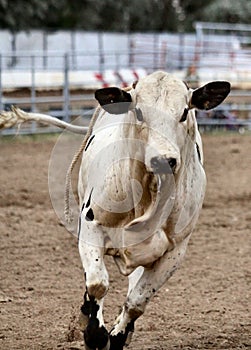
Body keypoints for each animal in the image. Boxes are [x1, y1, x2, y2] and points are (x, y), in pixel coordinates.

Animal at [0, 69, 231, 348]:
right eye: (139, 112)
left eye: (185, 111)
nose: (163, 159)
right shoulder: (91, 226)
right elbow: (97, 284)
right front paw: (94, 334)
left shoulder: (175, 252)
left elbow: (137, 301)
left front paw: (119, 335)